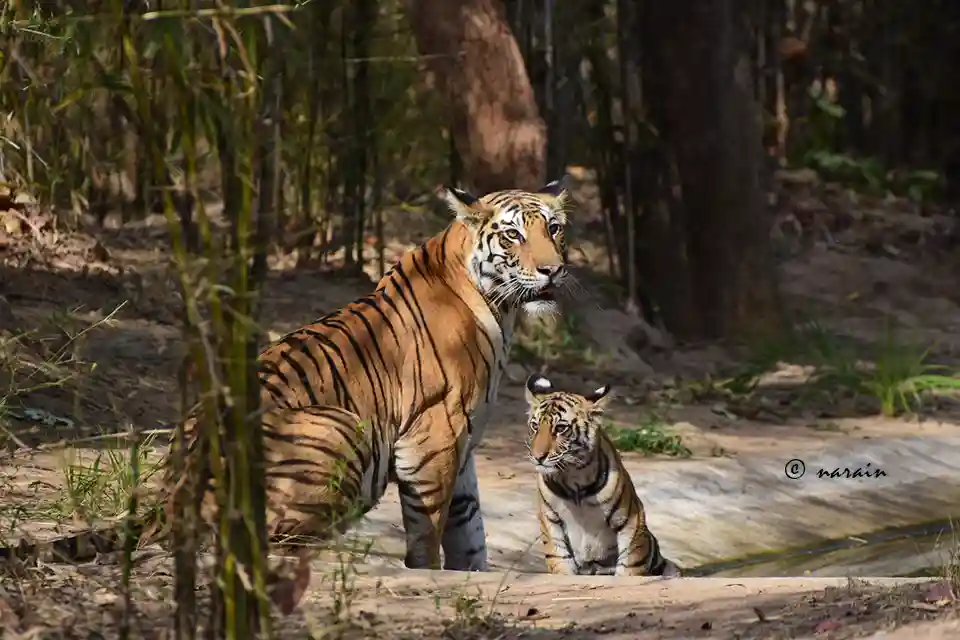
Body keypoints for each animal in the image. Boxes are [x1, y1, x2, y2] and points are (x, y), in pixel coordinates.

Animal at [0, 180, 568, 580]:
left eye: (555, 230)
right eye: (514, 234)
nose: (554, 271)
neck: (502, 307)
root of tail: (169, 496)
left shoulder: (464, 441)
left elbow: (470, 528)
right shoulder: (434, 436)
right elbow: (430, 528)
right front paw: (429, 571)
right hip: (344, 428)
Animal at [524, 372, 684, 576]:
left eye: (560, 428)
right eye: (535, 426)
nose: (538, 457)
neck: (572, 480)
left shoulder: (630, 520)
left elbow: (630, 565)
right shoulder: (551, 521)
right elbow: (560, 561)